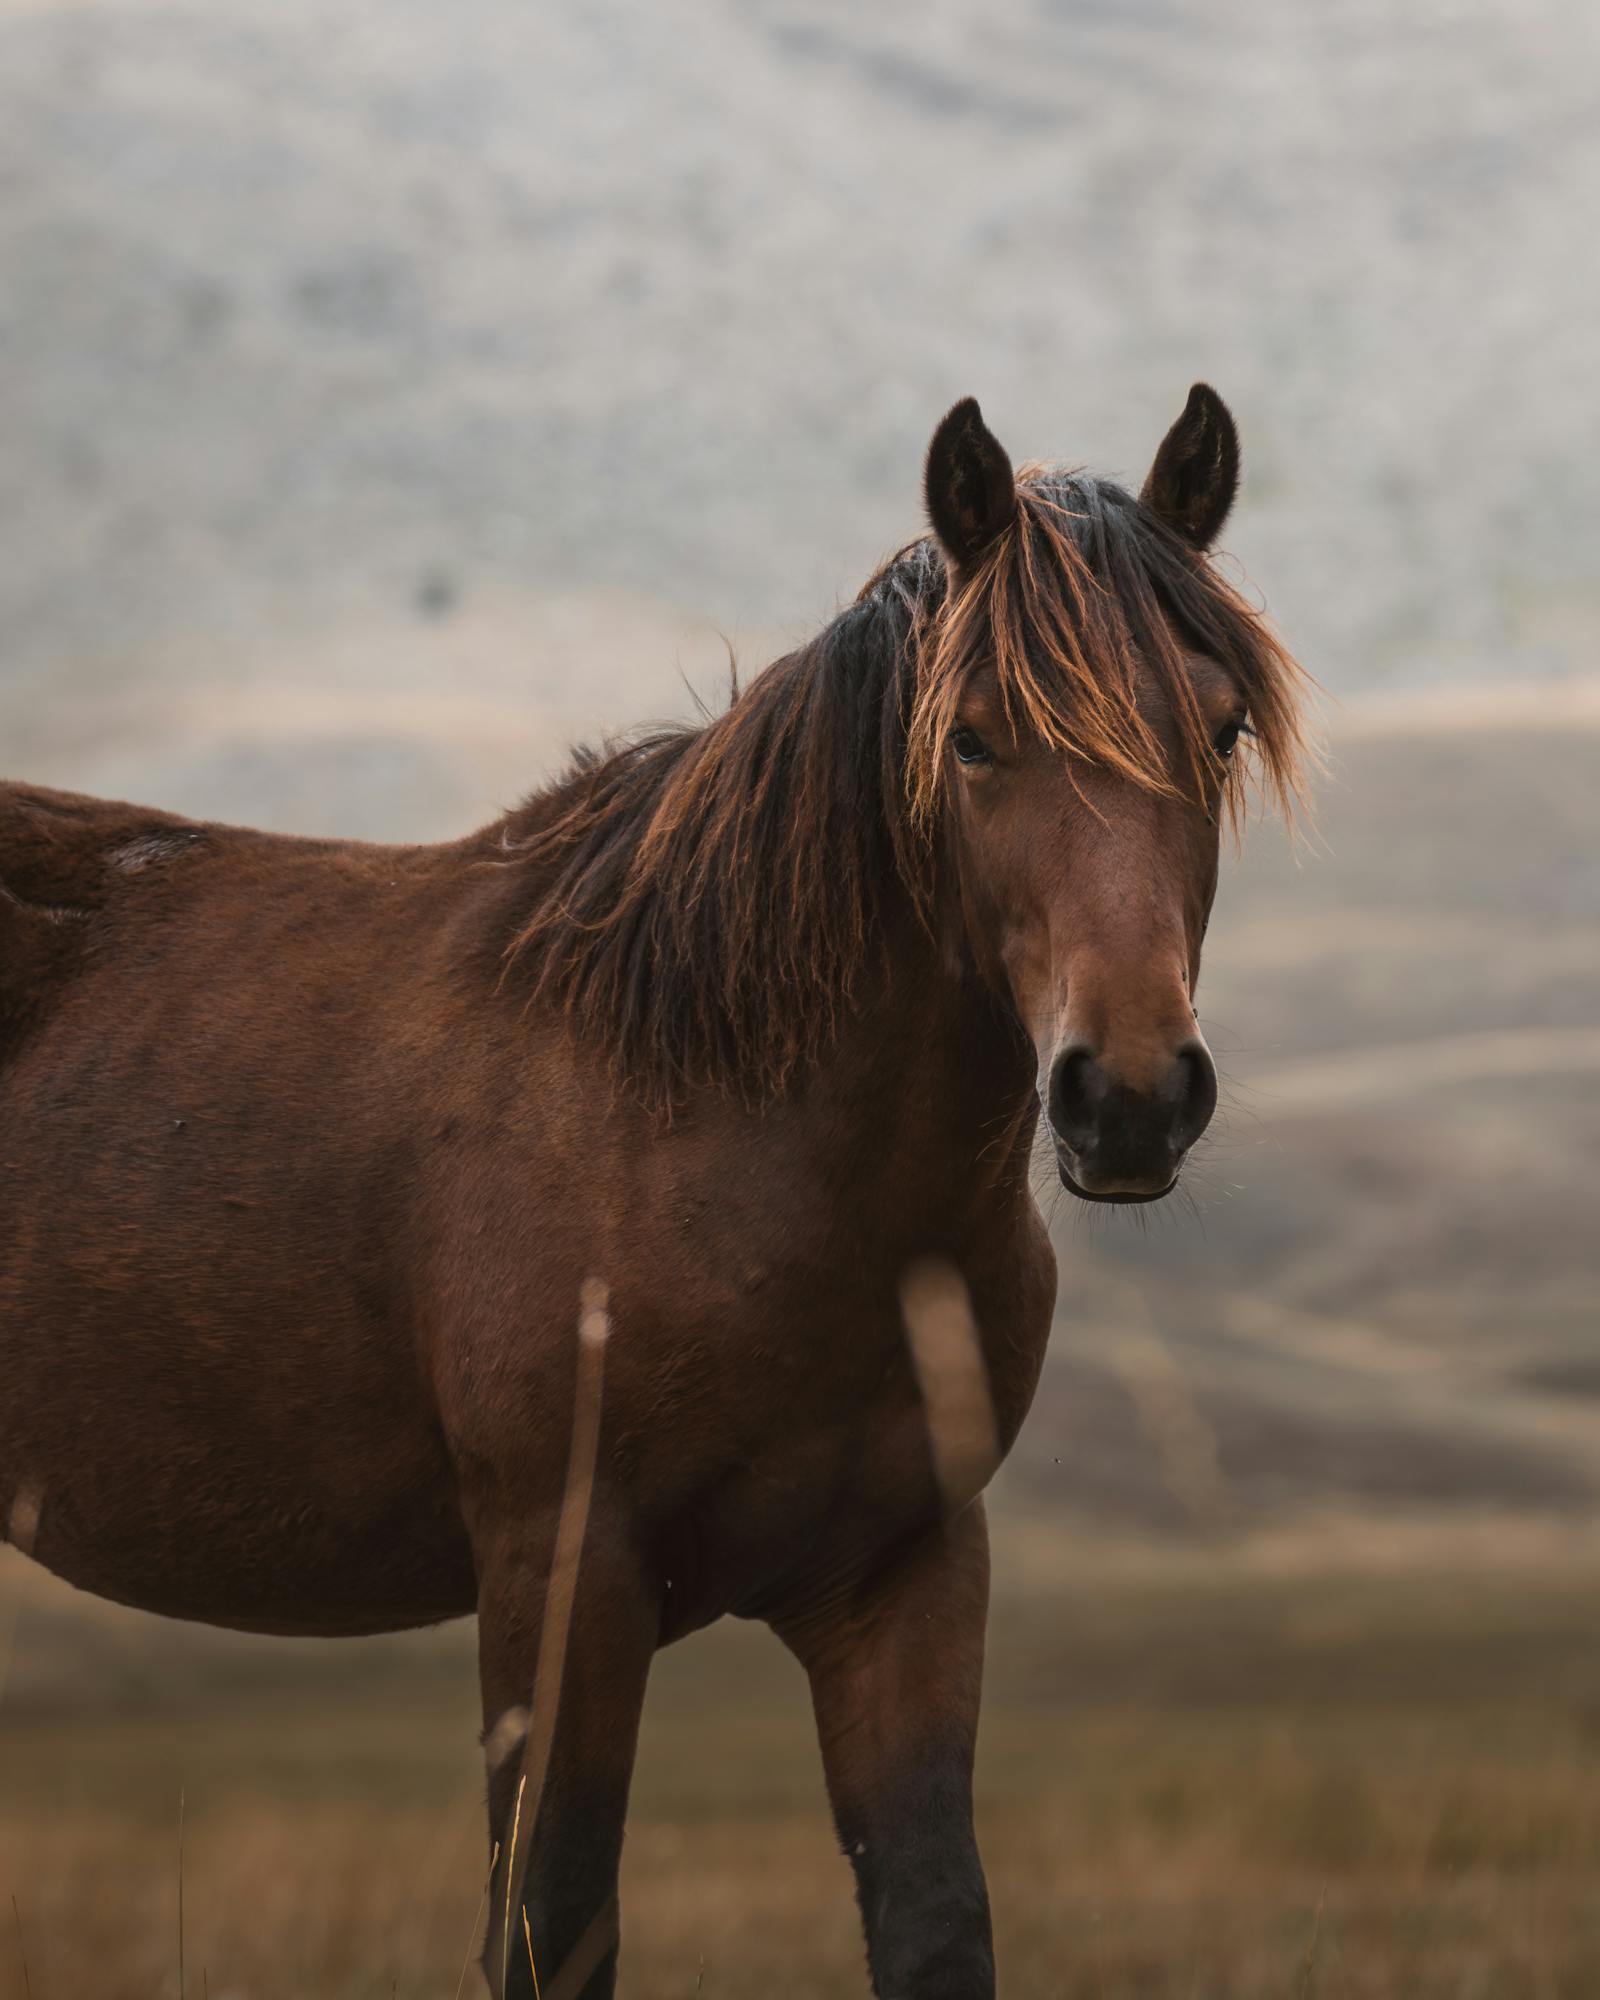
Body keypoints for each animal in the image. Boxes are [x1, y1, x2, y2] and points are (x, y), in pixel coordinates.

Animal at [0, 382, 1296, 1992]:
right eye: (976, 743)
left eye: (1221, 728)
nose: (1126, 1097)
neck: (730, 1124)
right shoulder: (563, 1573)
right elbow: (551, 1920)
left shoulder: (907, 1571)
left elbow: (935, 1915)